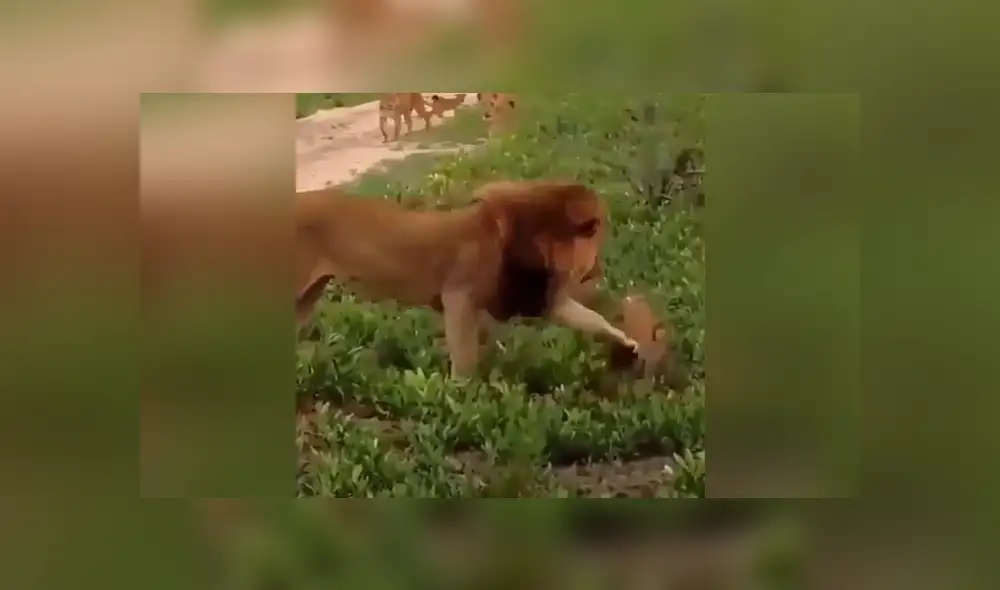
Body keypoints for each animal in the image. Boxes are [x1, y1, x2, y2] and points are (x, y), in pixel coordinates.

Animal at [295, 180, 640, 378]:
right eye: (597, 234)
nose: (600, 269)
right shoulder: (458, 297)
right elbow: (465, 355)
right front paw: (463, 396)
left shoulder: (538, 298)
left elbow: (593, 319)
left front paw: (630, 343)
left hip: (305, 298)